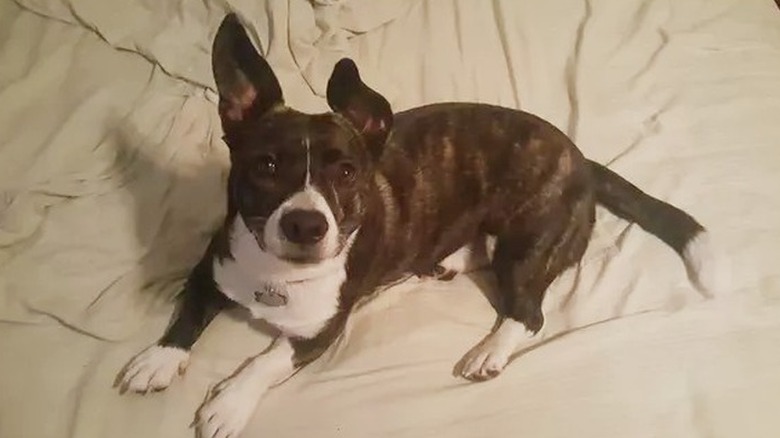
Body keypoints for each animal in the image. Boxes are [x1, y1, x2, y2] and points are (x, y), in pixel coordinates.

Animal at [116, 13, 720, 438]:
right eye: (264, 166)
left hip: (526, 247)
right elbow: (188, 312)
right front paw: (159, 359)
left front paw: (228, 403)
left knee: (529, 313)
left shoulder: (321, 334)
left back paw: (489, 351)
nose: (306, 225)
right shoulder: (212, 265)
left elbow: (265, 361)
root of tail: (581, 160)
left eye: (347, 172)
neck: (277, 275)